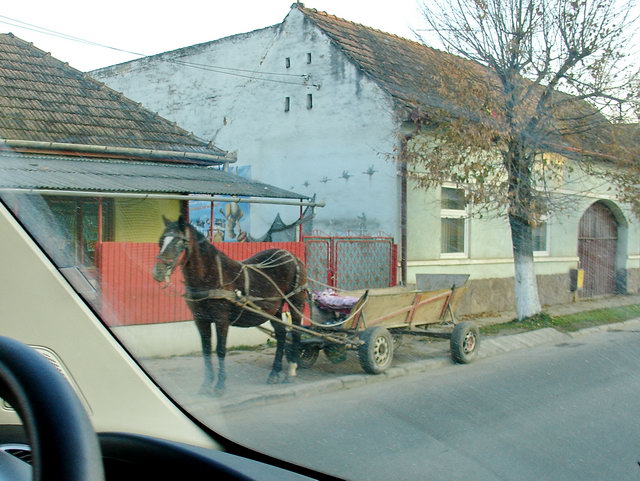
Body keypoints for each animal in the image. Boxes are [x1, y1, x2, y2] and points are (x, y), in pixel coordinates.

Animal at [152, 217, 308, 394]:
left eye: (179, 242)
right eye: (160, 241)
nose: (157, 272)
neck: (211, 275)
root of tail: (292, 256)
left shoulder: (221, 320)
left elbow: (220, 349)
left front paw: (220, 386)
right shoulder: (201, 320)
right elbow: (206, 350)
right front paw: (206, 385)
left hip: (296, 302)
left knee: (295, 332)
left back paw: (292, 370)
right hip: (274, 308)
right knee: (281, 334)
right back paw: (274, 373)